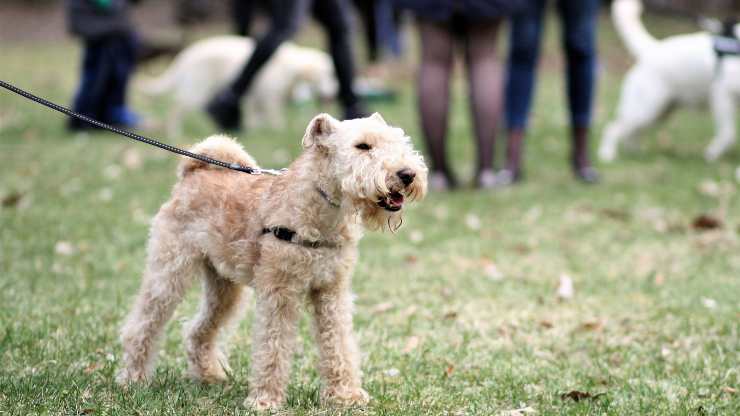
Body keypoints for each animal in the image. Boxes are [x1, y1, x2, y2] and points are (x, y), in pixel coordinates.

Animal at [115, 111, 428, 410]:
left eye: (398, 141)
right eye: (362, 146)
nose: (407, 174)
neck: (318, 210)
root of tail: (192, 173)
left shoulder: (331, 292)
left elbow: (338, 344)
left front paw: (345, 395)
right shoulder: (279, 293)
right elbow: (272, 347)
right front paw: (265, 400)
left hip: (225, 288)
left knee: (197, 331)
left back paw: (210, 376)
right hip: (169, 272)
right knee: (142, 325)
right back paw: (133, 379)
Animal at [141, 35, 338, 135]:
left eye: (333, 75)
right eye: (327, 74)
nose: (335, 92)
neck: (291, 67)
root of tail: (186, 54)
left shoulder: (256, 98)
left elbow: (256, 117)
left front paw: (256, 128)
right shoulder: (269, 98)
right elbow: (275, 118)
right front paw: (277, 130)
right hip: (196, 91)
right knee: (175, 110)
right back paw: (174, 133)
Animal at [600, 0, 740, 162]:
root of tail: (652, 50)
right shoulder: (722, 95)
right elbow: (728, 134)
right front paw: (712, 154)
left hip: (659, 112)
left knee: (633, 133)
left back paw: (635, 153)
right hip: (645, 109)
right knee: (613, 128)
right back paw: (607, 154)